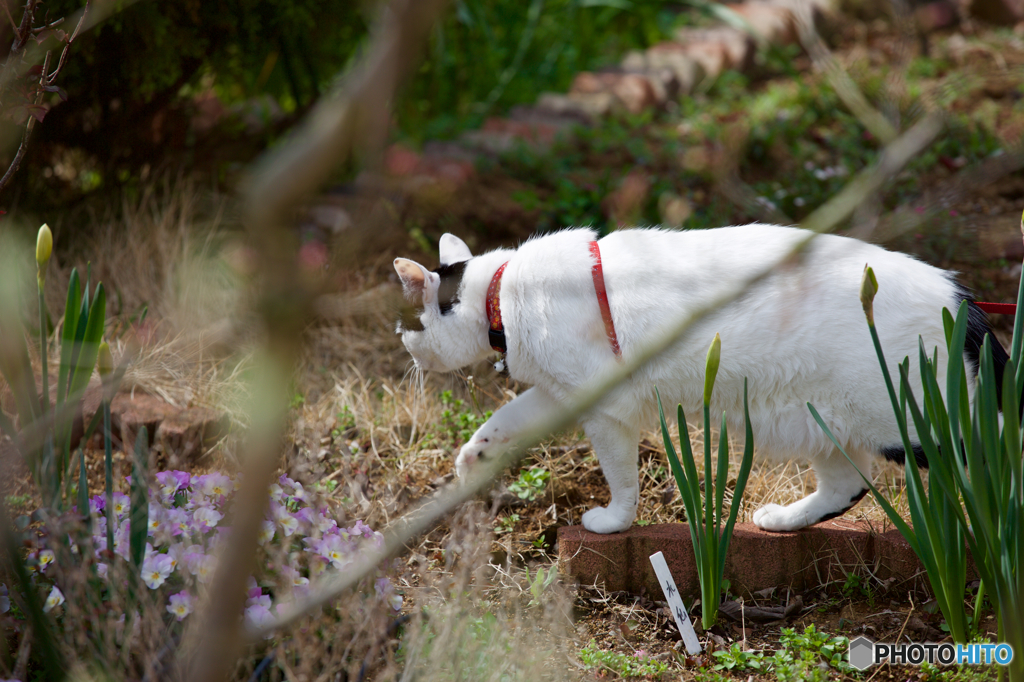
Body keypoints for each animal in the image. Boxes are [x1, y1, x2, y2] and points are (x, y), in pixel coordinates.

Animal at [393, 225, 1007, 532]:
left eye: (410, 323)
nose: (405, 348)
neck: (504, 293)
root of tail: (964, 298)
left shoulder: (605, 411)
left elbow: (621, 479)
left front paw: (613, 521)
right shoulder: (561, 395)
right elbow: (503, 422)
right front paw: (472, 462)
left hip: (924, 427)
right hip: (822, 423)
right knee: (846, 486)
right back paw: (782, 520)